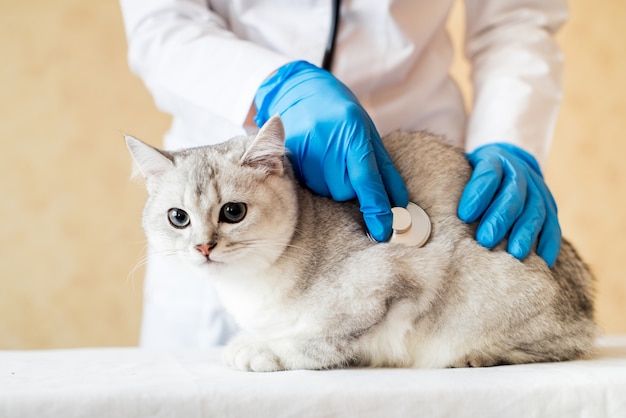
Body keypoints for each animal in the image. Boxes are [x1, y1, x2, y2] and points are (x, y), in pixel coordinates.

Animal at [125, 115, 596, 372]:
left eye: (233, 212)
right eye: (178, 218)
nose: (203, 247)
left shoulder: (387, 282)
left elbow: (317, 341)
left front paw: (262, 349)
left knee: (565, 345)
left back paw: (477, 356)